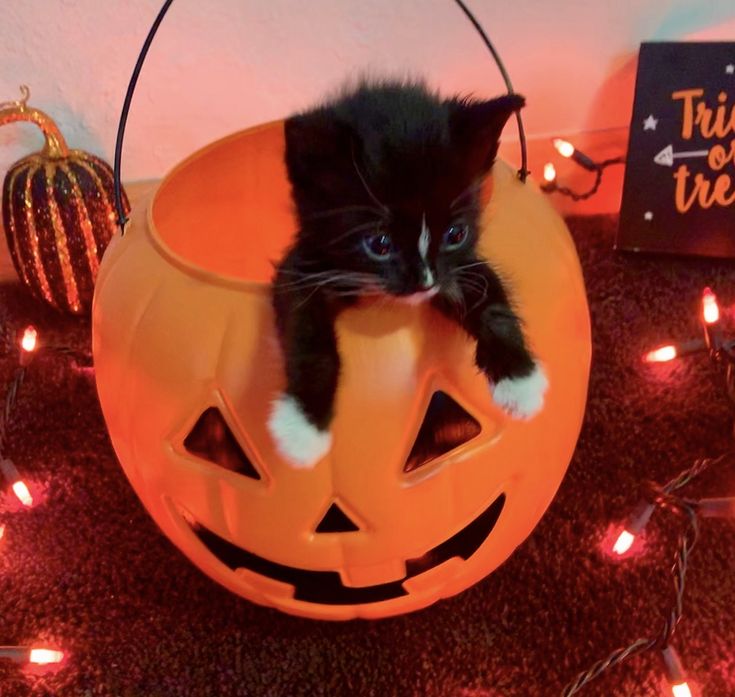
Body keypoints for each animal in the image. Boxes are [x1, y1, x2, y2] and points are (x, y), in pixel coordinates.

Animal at [268, 79, 548, 468]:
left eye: (455, 234)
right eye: (379, 243)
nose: (424, 282)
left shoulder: (456, 268)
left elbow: (489, 294)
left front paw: (520, 381)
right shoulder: (304, 265)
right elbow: (306, 334)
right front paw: (302, 429)